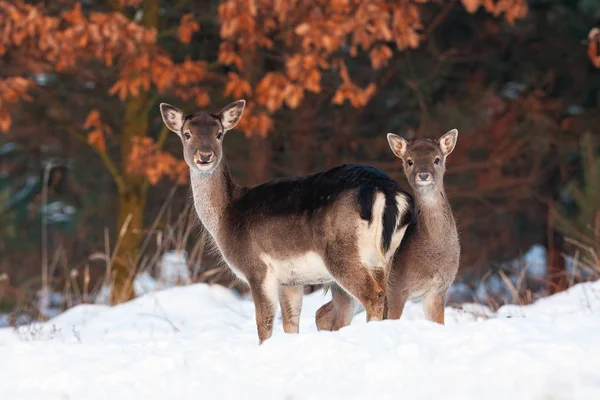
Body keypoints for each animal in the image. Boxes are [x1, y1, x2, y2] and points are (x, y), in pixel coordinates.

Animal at [157, 101, 414, 344]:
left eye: (219, 133)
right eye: (186, 134)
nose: (204, 156)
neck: (226, 216)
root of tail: (386, 190)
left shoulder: (257, 268)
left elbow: (264, 323)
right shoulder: (291, 280)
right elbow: (290, 323)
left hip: (342, 253)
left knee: (374, 295)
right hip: (386, 256)